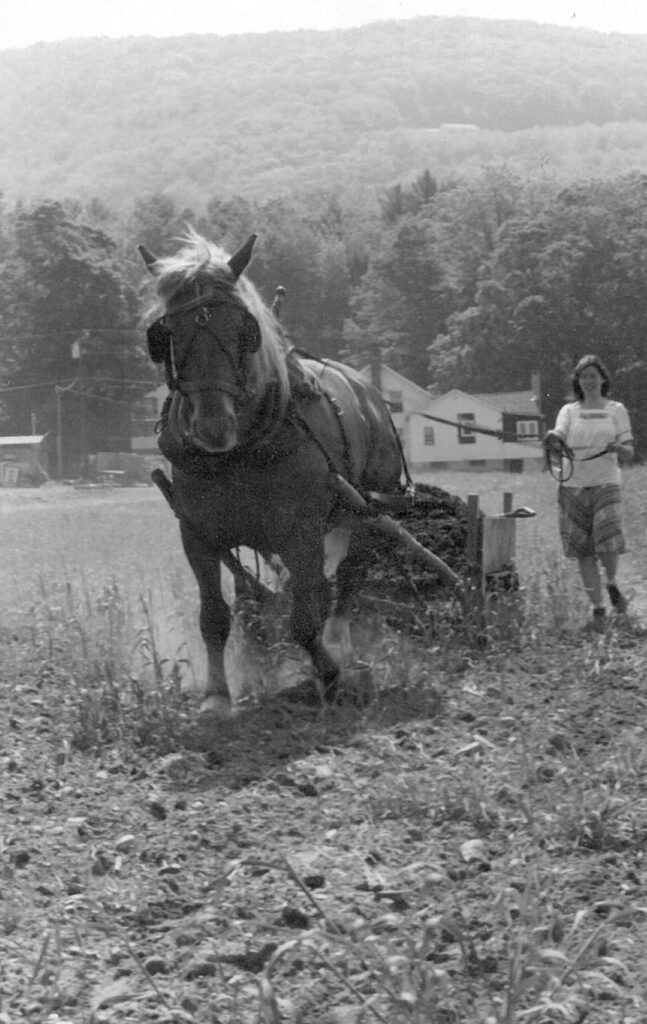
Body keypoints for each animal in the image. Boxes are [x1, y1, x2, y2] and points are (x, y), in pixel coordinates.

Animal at [139, 230, 405, 717]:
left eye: (244, 329)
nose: (212, 427)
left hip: (369, 510)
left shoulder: (301, 533)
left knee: (349, 580)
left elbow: (304, 619)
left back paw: (343, 647)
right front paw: (216, 696)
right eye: (166, 334)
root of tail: (369, 390)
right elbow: (214, 616)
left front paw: (330, 674)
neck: (241, 453)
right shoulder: (197, 535)